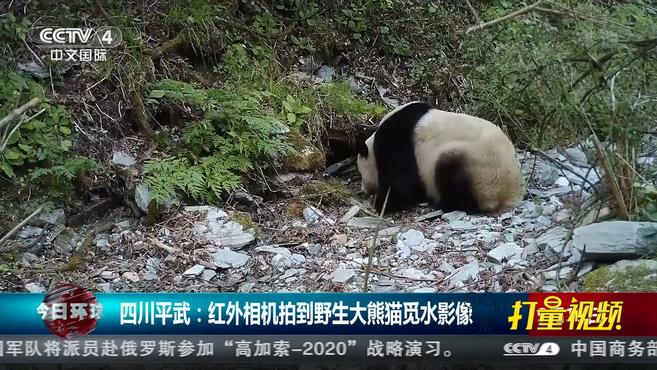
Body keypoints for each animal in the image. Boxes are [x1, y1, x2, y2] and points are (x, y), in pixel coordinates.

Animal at [354, 101, 524, 217]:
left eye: (362, 174)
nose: (363, 190)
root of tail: (508, 196)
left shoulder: (398, 142)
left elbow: (401, 183)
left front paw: (381, 204)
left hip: (479, 167)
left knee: (450, 174)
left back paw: (441, 204)